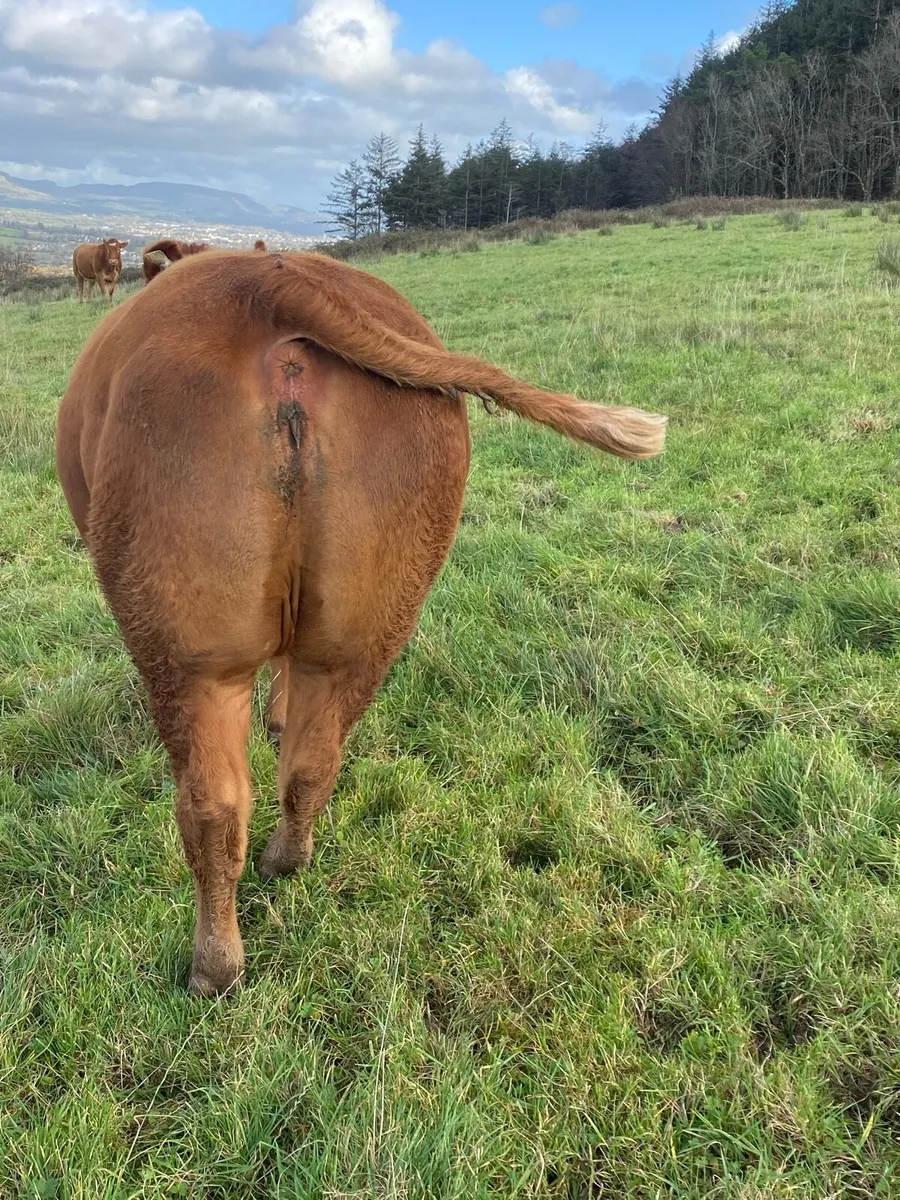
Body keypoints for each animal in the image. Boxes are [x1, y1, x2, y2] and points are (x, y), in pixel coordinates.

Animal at [56, 249, 667, 997]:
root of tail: (270, 279)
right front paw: (279, 716)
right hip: (364, 630)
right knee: (310, 767)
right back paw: (284, 860)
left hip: (188, 658)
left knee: (211, 809)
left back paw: (214, 968)